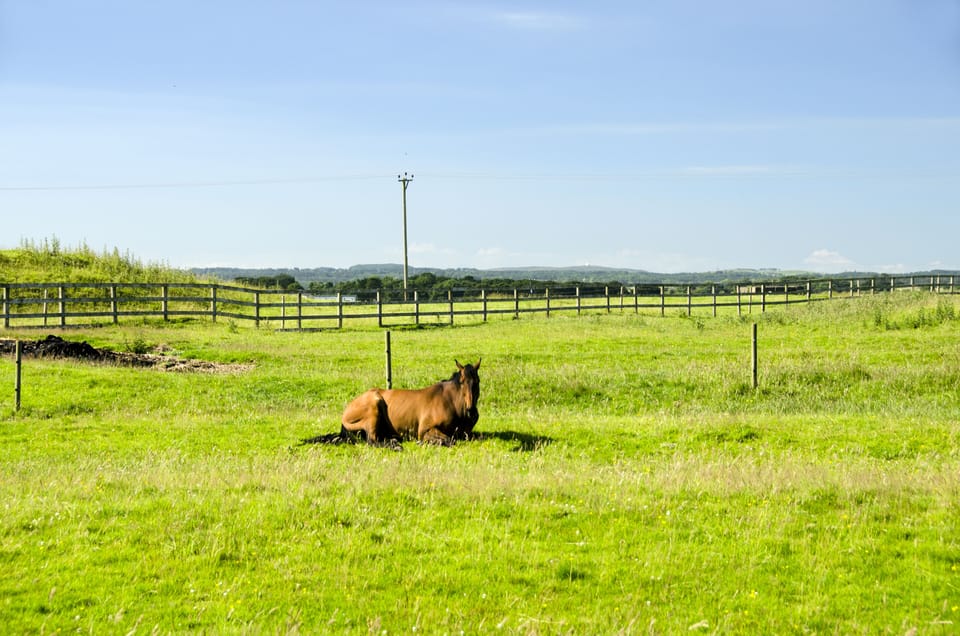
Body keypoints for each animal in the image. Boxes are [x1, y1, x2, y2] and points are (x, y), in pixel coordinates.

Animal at [340, 359, 481, 446]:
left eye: (477, 381)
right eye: (462, 382)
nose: (471, 410)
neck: (451, 402)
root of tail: (345, 413)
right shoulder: (425, 430)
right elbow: (449, 440)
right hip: (375, 404)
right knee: (373, 440)